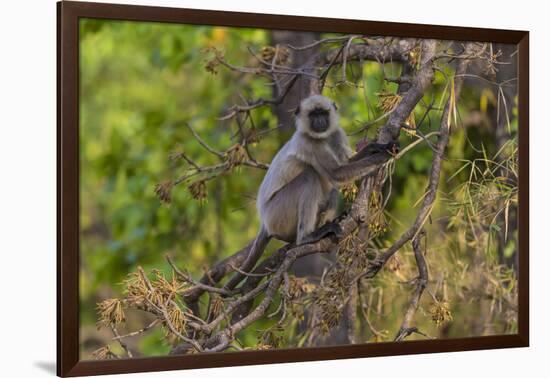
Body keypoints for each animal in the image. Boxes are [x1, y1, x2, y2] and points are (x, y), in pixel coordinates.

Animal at [222, 94, 398, 290]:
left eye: (323, 113)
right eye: (313, 114)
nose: (319, 121)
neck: (322, 137)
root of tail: (264, 221)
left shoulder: (336, 134)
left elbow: (345, 164)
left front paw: (378, 147)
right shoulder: (308, 142)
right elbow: (337, 173)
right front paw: (382, 156)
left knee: (329, 186)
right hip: (277, 213)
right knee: (310, 176)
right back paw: (306, 236)